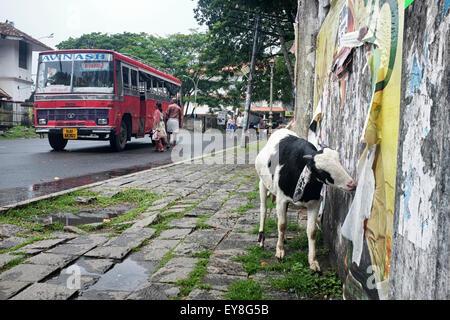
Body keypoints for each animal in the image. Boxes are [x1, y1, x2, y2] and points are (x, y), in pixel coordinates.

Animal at [256, 129, 356, 272]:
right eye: (320, 170)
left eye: (339, 160)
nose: (351, 184)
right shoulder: (281, 199)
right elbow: (281, 225)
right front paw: (279, 251)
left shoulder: (315, 203)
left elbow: (312, 231)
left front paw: (313, 261)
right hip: (262, 184)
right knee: (263, 210)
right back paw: (261, 239)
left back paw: (284, 238)